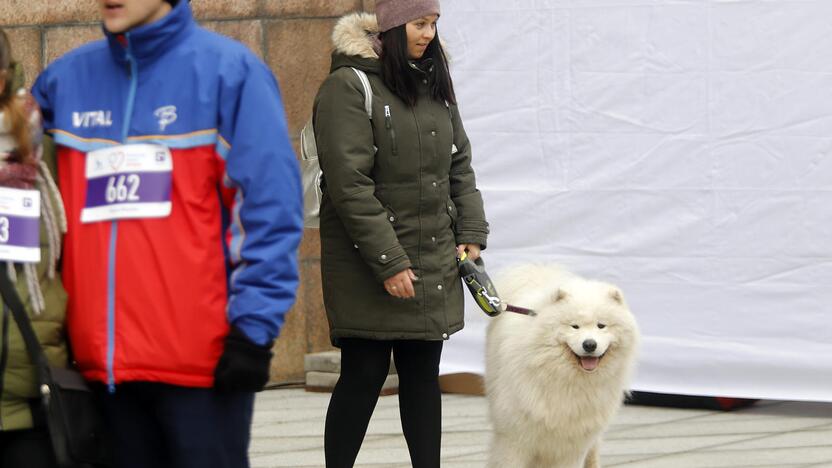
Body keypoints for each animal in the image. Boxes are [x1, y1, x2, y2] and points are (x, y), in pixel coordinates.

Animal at [484, 266, 640, 466]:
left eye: (601, 326)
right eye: (574, 326)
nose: (590, 344)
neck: (567, 381)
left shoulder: (573, 444)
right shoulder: (515, 438)